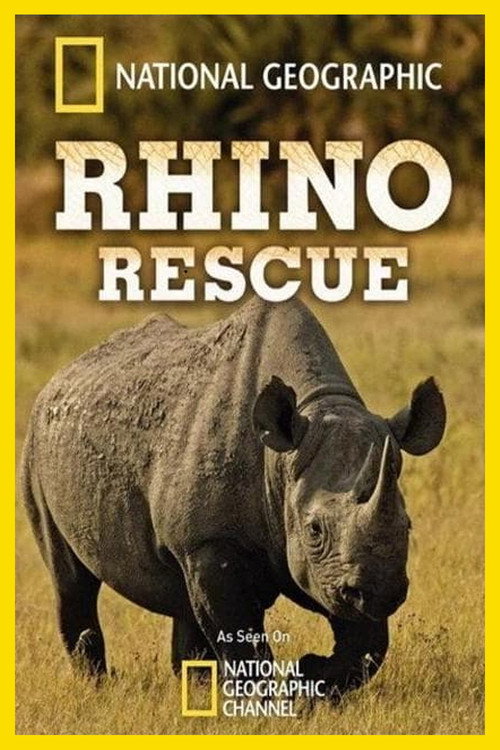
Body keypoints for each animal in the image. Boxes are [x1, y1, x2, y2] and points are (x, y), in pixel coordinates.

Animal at [20, 297, 446, 698]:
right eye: (314, 530)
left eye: (408, 525)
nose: (380, 592)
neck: (283, 460)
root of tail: (60, 376)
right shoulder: (209, 542)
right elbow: (239, 635)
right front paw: (261, 705)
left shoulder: (342, 566)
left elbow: (367, 646)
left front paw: (308, 680)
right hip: (37, 444)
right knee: (70, 578)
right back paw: (97, 685)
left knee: (182, 598)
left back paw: (194, 688)